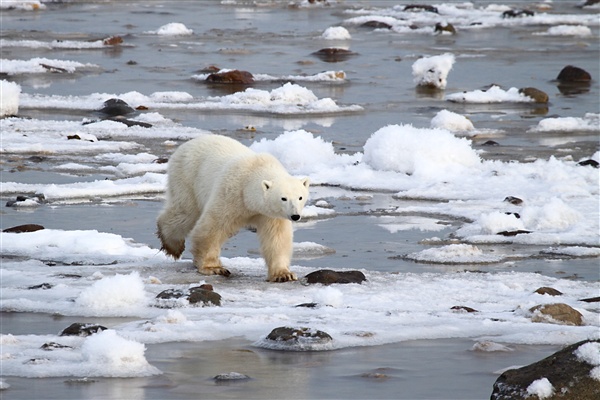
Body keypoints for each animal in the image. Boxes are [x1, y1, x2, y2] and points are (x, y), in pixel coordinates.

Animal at [157, 136, 310, 282]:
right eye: (283, 198)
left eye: (300, 197)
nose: (295, 216)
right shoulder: (231, 193)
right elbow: (212, 227)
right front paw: (213, 268)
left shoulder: (270, 214)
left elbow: (276, 237)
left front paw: (283, 274)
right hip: (187, 178)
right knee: (185, 213)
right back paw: (173, 246)